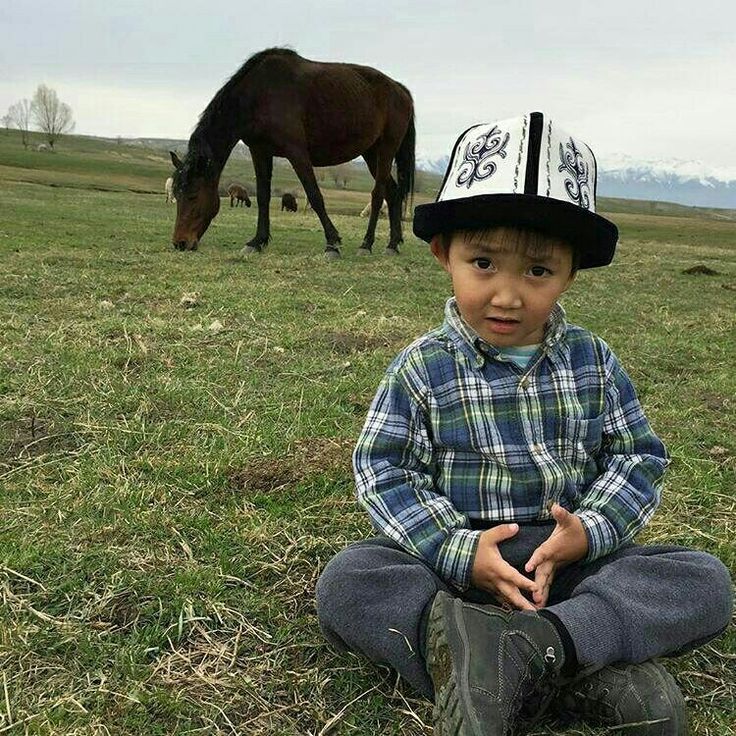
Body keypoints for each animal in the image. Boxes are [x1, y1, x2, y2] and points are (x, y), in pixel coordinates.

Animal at [170, 46, 416, 258]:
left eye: (193, 195)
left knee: (378, 194)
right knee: (392, 193)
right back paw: (392, 244)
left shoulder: (297, 153)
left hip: (386, 149)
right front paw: (256, 242)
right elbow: (263, 196)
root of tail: (400, 89)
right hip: (371, 153)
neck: (260, 94)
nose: (180, 243)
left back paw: (366, 244)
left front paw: (332, 244)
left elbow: (315, 195)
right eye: (176, 195)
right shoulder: (260, 151)